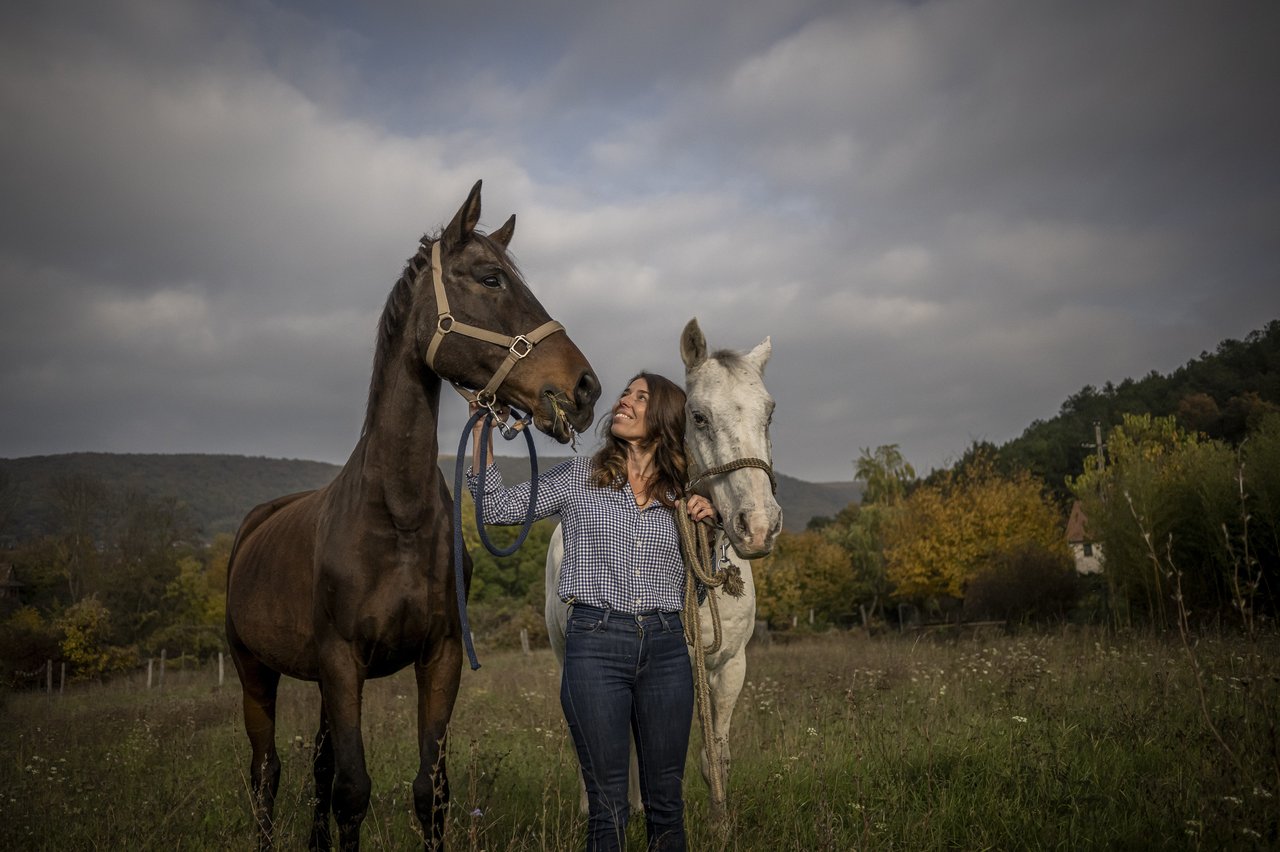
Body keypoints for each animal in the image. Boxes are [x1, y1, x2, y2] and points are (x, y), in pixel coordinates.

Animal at [226, 180, 599, 849]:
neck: (395, 516)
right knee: (266, 773)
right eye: (491, 278)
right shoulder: (342, 662)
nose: (584, 388)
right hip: (254, 672)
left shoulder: (439, 656)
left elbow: (431, 791)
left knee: (316, 767)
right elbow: (354, 792)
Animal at [545, 317, 783, 808]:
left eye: (768, 414)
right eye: (699, 417)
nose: (758, 526)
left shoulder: (729, 668)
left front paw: (721, 820)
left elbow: (715, 760)